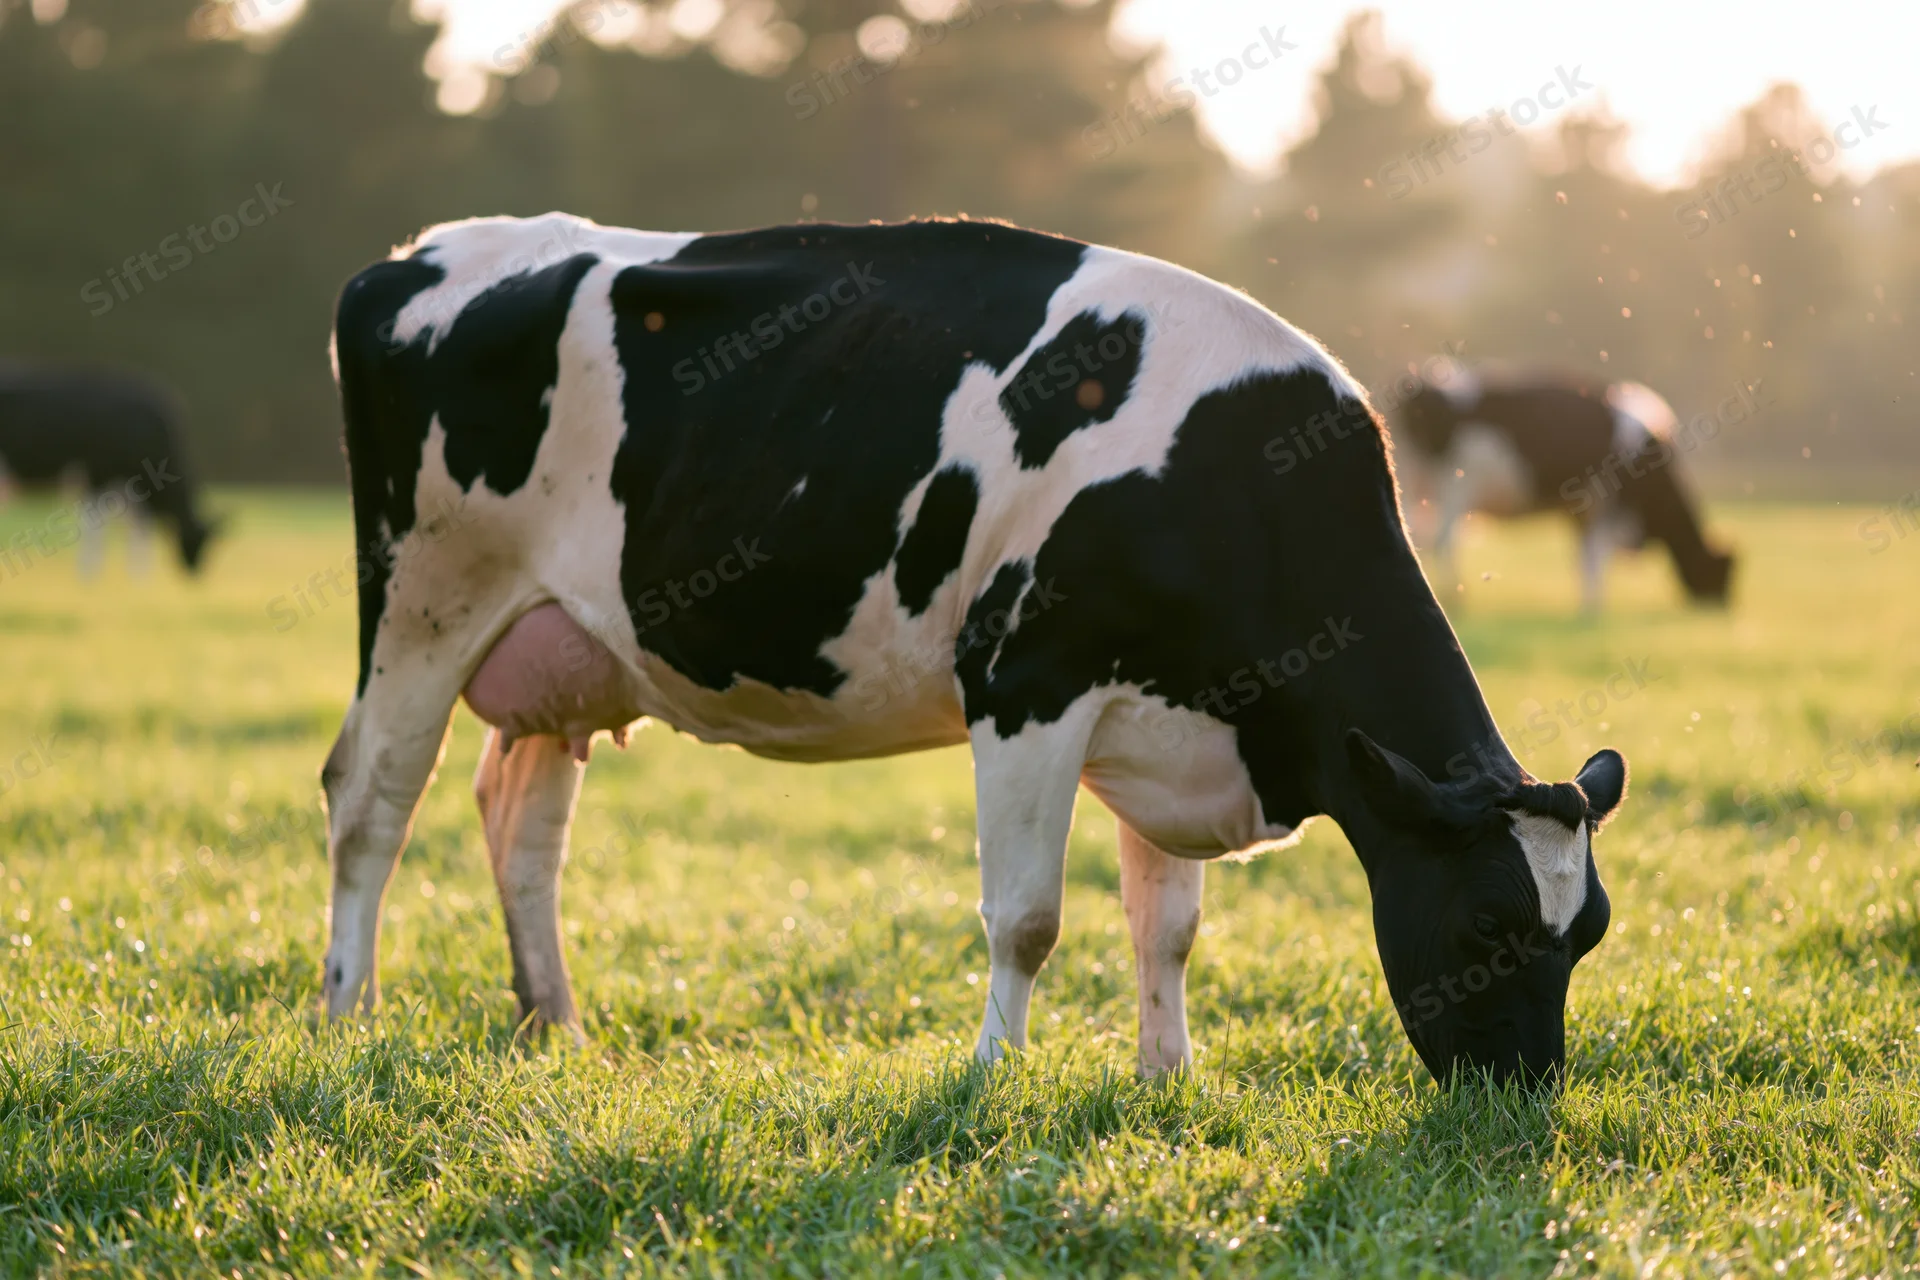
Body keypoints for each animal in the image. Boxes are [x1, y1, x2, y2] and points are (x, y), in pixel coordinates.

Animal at [0, 362, 223, 574]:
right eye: (199, 540)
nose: (195, 572)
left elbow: (136, 525)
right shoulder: (98, 473)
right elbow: (96, 524)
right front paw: (90, 572)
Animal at [320, 213, 1628, 1087]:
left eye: (1590, 931)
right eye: (1485, 924)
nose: (1524, 1099)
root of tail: (418, 254)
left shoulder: (1174, 721)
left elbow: (1167, 924)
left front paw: (1167, 1077)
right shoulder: (1024, 684)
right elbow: (1030, 918)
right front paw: (995, 1074)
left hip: (564, 643)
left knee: (521, 819)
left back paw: (556, 1023)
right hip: (425, 597)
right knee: (369, 800)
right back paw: (351, 1012)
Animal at [1392, 364, 1736, 612]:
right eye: (1721, 573)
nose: (1722, 608)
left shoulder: (1581, 510)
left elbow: (1581, 558)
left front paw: (1587, 604)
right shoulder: (1605, 502)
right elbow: (1596, 557)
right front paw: (1594, 608)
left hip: (1417, 486)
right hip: (1456, 484)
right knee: (1445, 541)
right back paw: (1456, 598)